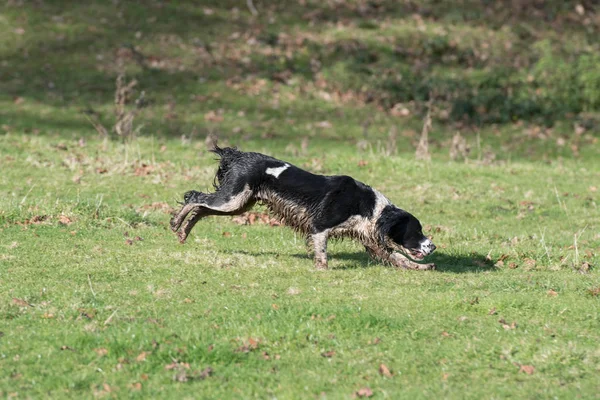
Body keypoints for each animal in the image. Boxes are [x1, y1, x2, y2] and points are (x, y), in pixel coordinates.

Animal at [170, 148, 436, 272]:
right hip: (232, 199)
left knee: (201, 208)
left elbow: (400, 258)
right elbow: (322, 252)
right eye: (417, 231)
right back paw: (175, 224)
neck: (369, 207)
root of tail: (236, 155)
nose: (433, 246)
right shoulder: (320, 225)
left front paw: (424, 267)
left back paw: (183, 233)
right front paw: (322, 270)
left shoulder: (371, 241)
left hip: (238, 205)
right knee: (194, 197)